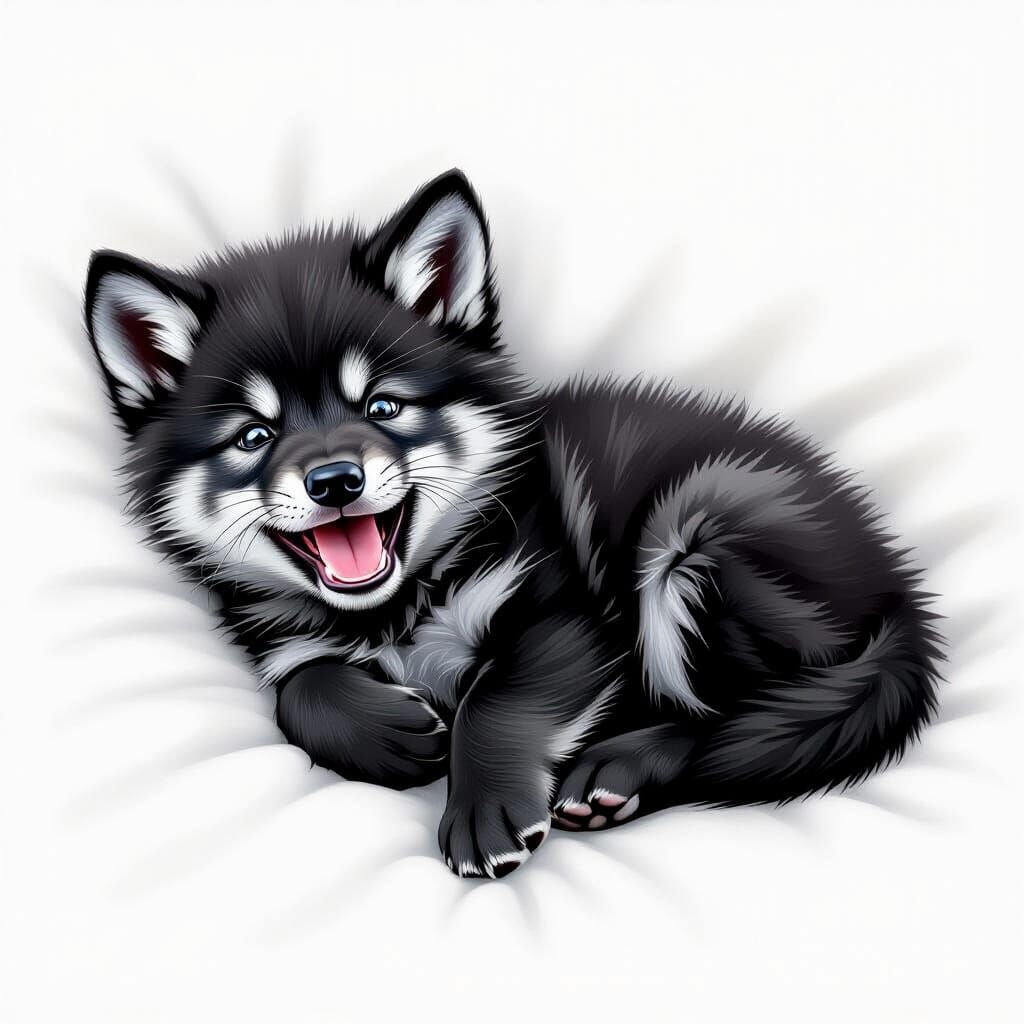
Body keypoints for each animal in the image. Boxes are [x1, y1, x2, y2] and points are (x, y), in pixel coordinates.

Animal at [84, 170, 942, 878]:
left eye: (383, 407)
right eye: (254, 437)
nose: (335, 481)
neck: (401, 610)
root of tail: (899, 589)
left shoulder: (565, 611)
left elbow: (498, 701)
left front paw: (485, 808)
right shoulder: (286, 646)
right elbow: (300, 690)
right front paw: (385, 734)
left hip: (693, 527)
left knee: (742, 717)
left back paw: (618, 767)